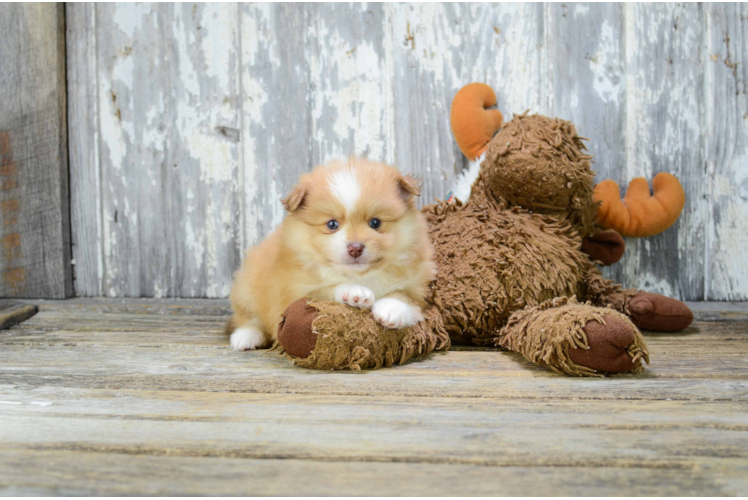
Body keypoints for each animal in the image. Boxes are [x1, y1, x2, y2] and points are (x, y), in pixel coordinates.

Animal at [229, 158, 438, 350]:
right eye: (332, 224)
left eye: (375, 223)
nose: (355, 248)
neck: (360, 275)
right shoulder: (294, 292)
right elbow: (326, 290)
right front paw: (354, 292)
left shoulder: (418, 287)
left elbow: (404, 296)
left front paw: (391, 309)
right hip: (246, 288)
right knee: (247, 318)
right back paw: (245, 338)